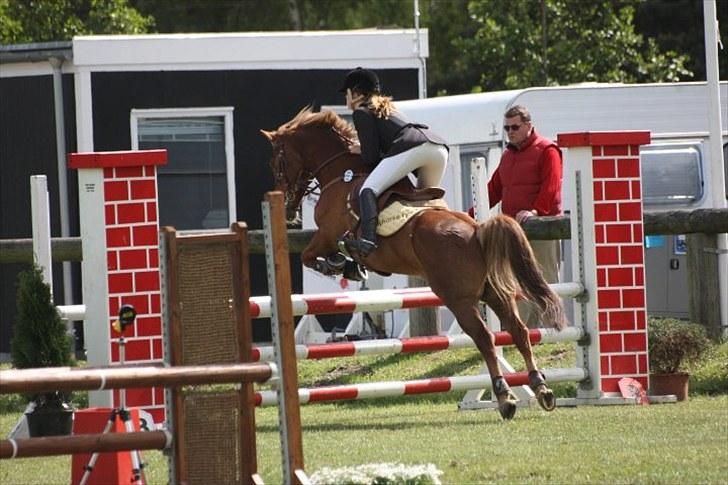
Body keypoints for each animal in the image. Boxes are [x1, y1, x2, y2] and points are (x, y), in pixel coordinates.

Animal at [264, 108, 568, 418]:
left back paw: (505, 397)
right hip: (493, 292)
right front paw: (348, 265)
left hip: (458, 298)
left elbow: (308, 256)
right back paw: (541, 389)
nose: (287, 211)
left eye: (277, 162)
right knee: (518, 331)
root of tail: (478, 231)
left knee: (485, 338)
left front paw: (338, 263)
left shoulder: (326, 234)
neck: (341, 175)